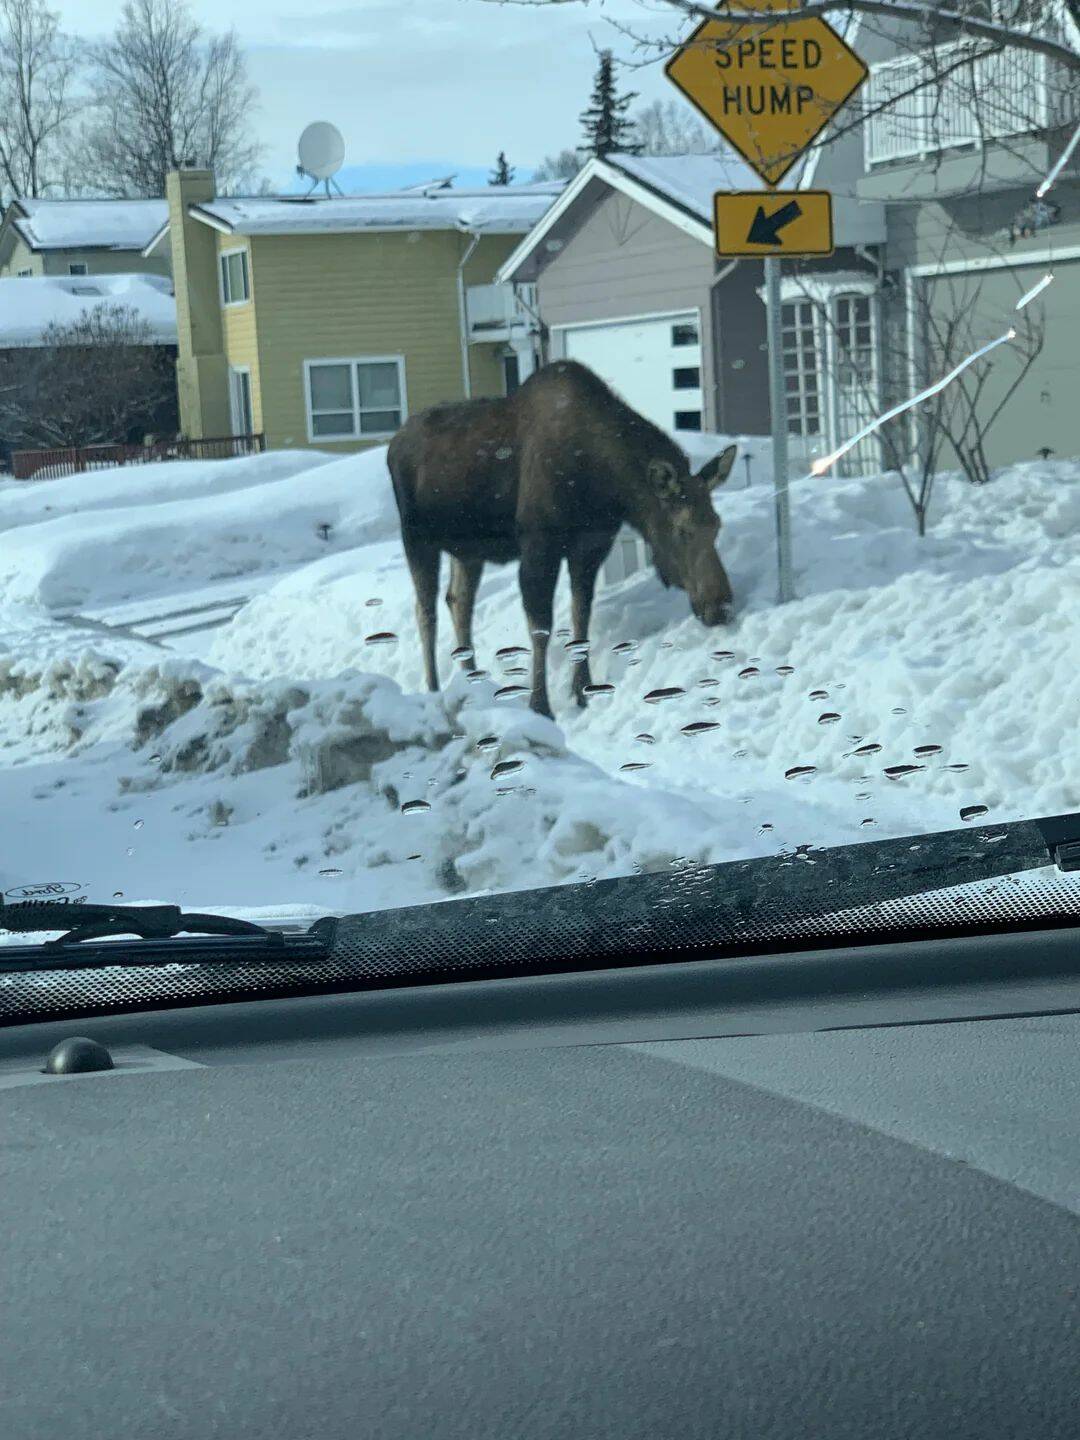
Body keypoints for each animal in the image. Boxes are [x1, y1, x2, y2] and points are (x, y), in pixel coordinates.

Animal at [391, 360, 743, 720]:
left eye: (716, 524)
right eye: (682, 530)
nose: (721, 607)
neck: (604, 485)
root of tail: (394, 442)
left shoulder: (592, 546)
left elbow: (581, 615)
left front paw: (583, 689)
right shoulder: (539, 545)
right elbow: (541, 626)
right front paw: (540, 705)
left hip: (468, 550)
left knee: (458, 602)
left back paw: (474, 683)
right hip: (416, 538)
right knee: (426, 612)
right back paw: (434, 689)